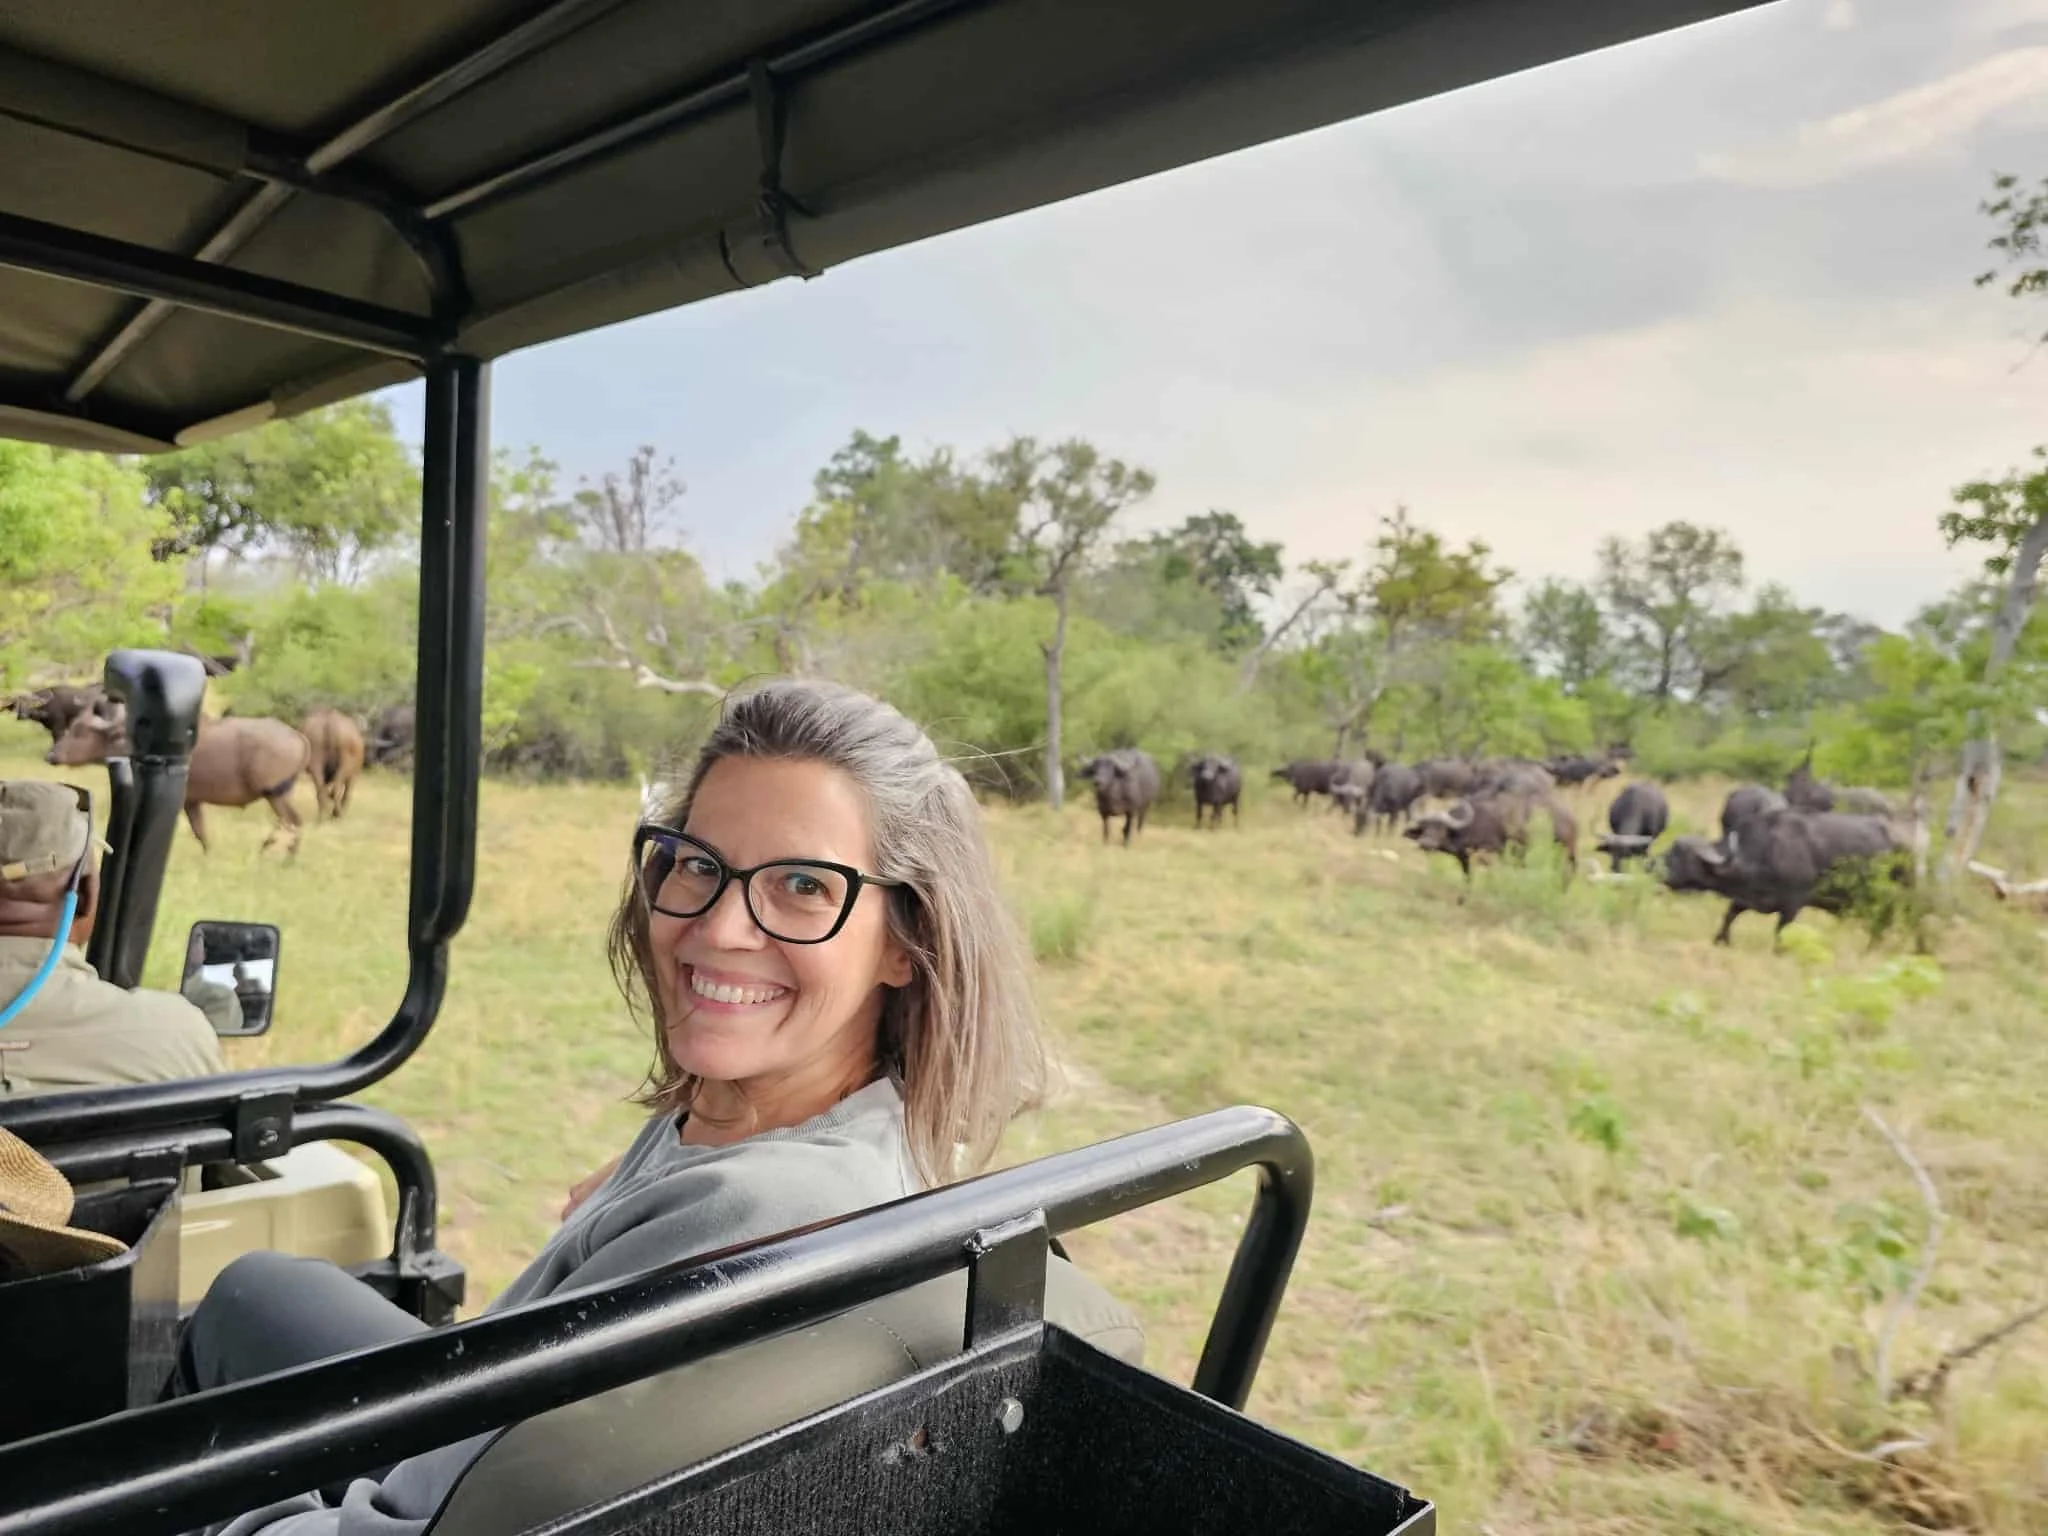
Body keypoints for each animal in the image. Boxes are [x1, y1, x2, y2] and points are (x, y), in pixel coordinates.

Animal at [48, 710, 312, 857]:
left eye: (80, 732)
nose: (51, 755)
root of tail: (298, 736)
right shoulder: (192, 801)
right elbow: (201, 833)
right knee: (292, 822)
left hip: (275, 794)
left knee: (293, 822)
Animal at [1403, 790, 1579, 894]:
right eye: (1424, 827)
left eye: (1441, 827)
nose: (1426, 843)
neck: (1472, 824)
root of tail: (1570, 817)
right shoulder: (1465, 859)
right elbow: (1468, 877)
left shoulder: (1491, 853)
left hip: (1567, 850)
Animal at [1661, 809, 1901, 946]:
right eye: (1671, 849)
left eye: (1681, 855)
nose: (1655, 867)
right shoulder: (1745, 898)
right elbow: (1729, 914)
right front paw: (1721, 939)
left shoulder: (1793, 904)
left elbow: (1781, 931)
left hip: (1885, 903)